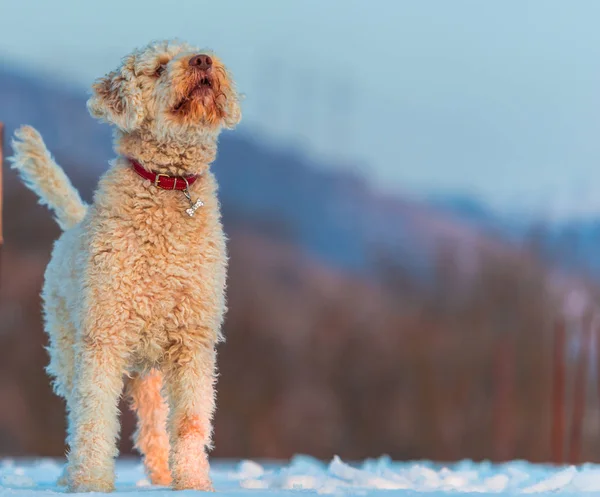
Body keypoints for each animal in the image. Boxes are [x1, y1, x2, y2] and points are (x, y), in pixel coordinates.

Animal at [9, 39, 241, 492]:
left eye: (194, 52)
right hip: (68, 348)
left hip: (149, 372)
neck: (168, 185)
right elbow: (94, 418)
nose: (203, 60)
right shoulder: (104, 337)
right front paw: (91, 483)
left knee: (152, 425)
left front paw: (192, 483)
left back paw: (162, 474)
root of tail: (75, 220)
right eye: (159, 67)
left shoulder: (193, 340)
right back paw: (70, 474)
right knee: (78, 412)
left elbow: (189, 421)